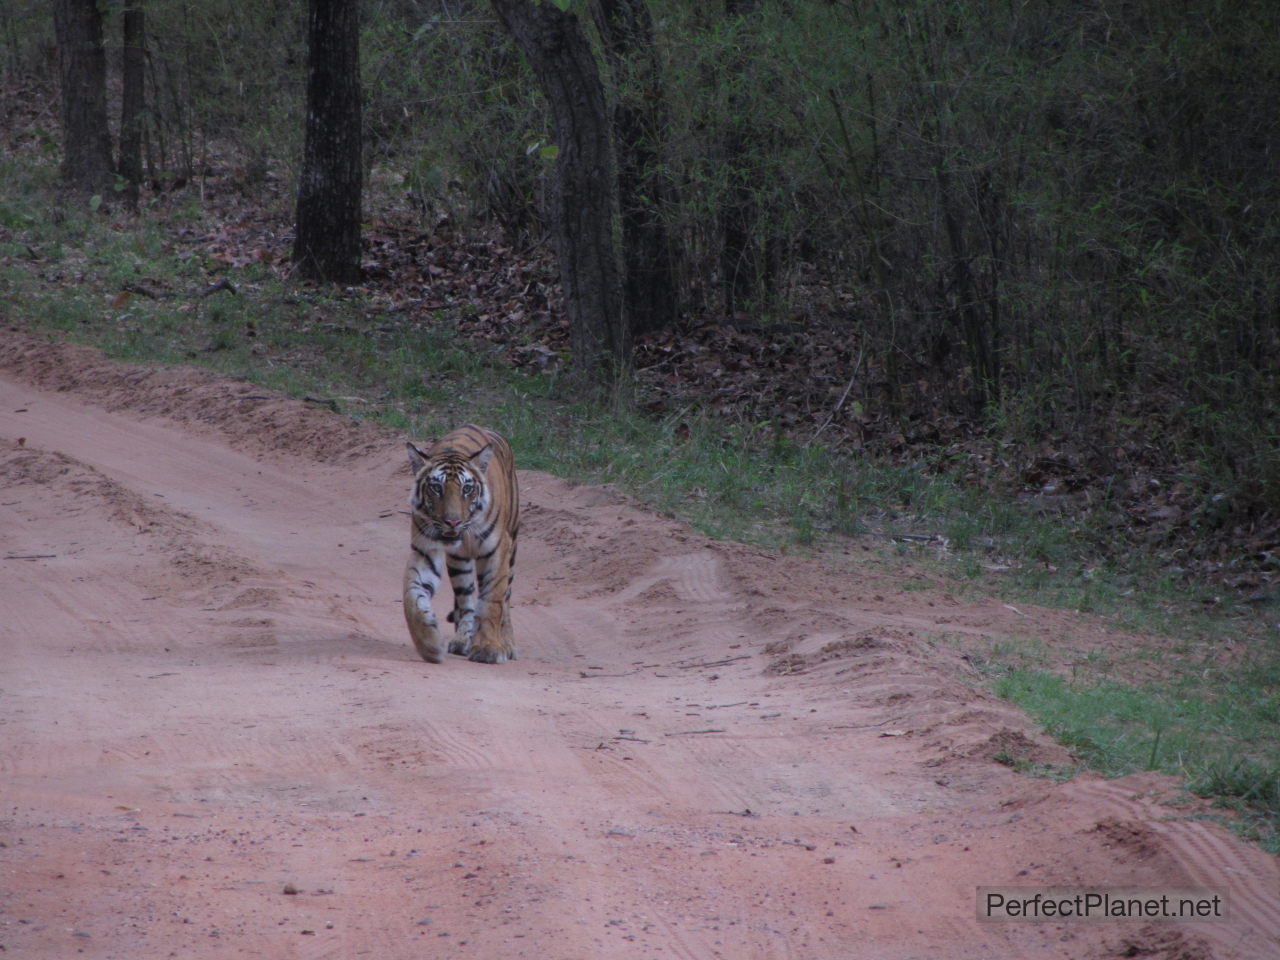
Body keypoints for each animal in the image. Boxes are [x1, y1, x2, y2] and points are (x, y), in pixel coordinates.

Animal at [399, 424, 519, 665]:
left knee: (506, 599)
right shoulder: (426, 550)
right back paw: (463, 640)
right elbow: (412, 596)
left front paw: (489, 649)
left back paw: (507, 642)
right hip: (459, 563)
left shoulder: (497, 550)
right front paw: (430, 645)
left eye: (467, 489)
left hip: (511, 547)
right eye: (436, 488)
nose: (452, 521)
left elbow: (492, 600)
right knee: (466, 602)